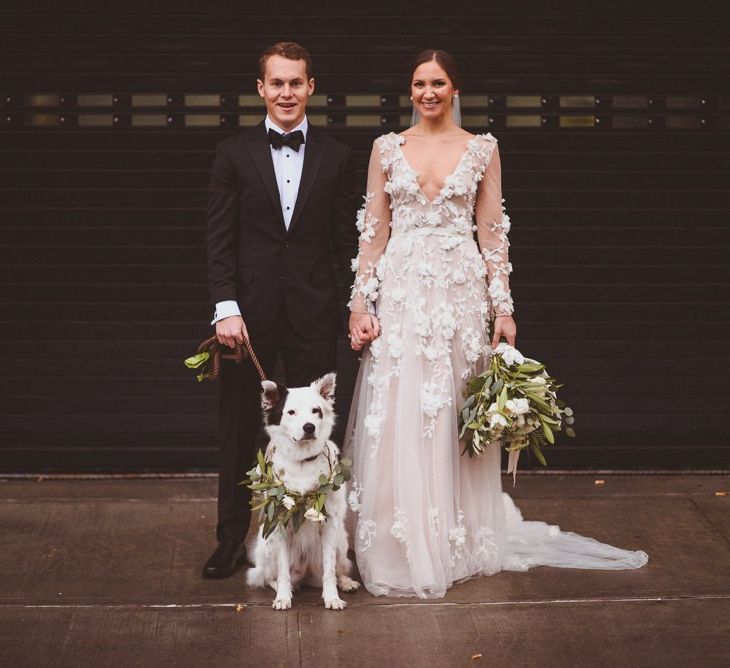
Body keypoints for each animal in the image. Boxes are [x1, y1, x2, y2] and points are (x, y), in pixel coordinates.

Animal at [245, 370, 358, 612]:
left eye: (316, 411)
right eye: (291, 412)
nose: (309, 427)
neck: (303, 461)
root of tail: (306, 575)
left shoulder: (329, 525)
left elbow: (329, 571)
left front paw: (332, 597)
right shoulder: (279, 525)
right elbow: (282, 571)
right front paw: (283, 597)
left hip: (341, 542)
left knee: (337, 570)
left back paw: (345, 582)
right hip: (267, 544)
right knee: (268, 576)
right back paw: (285, 587)